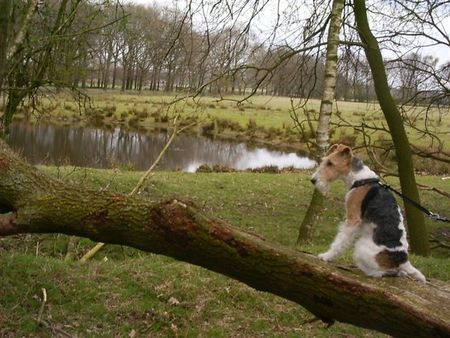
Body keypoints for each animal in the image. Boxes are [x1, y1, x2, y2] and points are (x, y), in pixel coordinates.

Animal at [310, 143, 426, 282]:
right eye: (324, 161)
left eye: (330, 163)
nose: (313, 180)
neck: (359, 179)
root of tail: (404, 262)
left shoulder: (353, 218)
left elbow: (340, 241)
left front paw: (326, 256)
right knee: (396, 272)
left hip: (361, 247)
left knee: (381, 272)